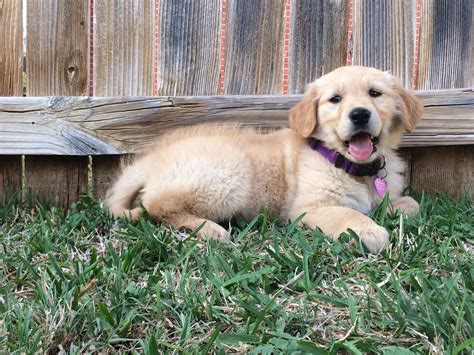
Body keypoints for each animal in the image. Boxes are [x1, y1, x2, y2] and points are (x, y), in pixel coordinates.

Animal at [107, 67, 422, 254]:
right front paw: (372, 231)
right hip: (230, 175)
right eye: (335, 99)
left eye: (375, 93)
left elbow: (409, 204)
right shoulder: (308, 208)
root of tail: (150, 161)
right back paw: (210, 230)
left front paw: (399, 206)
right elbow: (349, 213)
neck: (351, 167)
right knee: (154, 207)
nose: (359, 114)